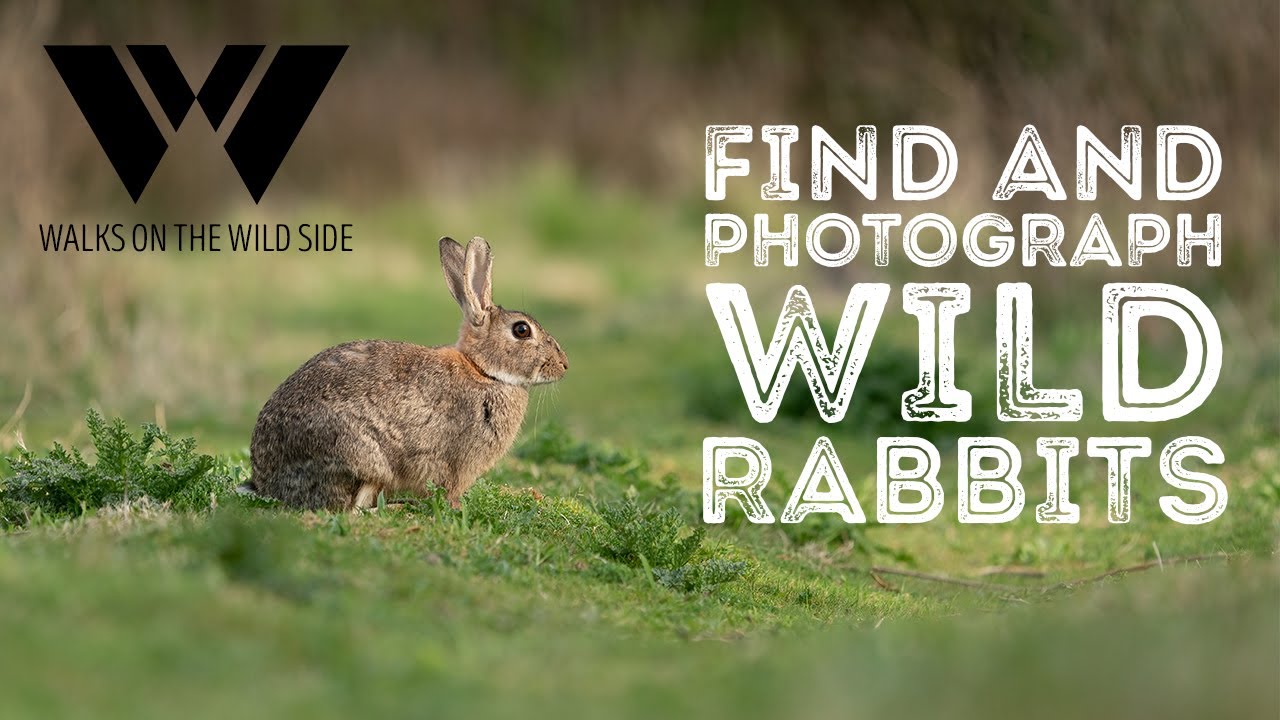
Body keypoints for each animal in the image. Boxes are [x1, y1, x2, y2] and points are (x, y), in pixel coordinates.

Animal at [245, 236, 569, 510]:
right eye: (522, 330)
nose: (564, 365)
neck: (483, 371)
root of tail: (267, 483)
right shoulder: (455, 461)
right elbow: (448, 490)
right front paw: (456, 509)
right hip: (361, 457)